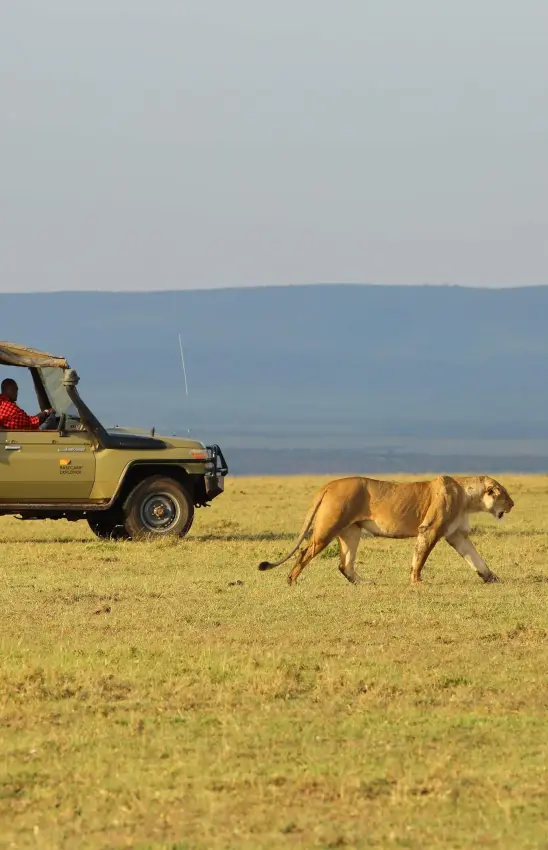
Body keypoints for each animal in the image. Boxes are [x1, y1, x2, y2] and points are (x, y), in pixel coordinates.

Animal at [257, 475, 514, 586]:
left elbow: (476, 558)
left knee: (344, 564)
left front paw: (493, 578)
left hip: (351, 532)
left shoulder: (456, 534)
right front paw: (416, 581)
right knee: (304, 553)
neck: (467, 497)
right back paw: (291, 581)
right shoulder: (429, 529)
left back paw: (365, 583)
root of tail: (328, 484)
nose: (512, 504)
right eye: (504, 494)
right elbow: (420, 557)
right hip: (328, 528)